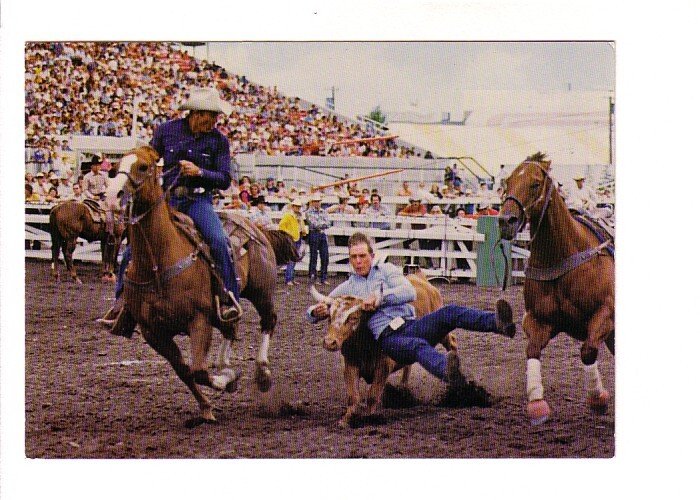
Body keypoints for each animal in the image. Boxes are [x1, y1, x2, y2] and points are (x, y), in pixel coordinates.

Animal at [104, 146, 298, 424]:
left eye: (143, 167)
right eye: (117, 164)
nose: (112, 196)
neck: (159, 261)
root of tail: (258, 228)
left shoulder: (199, 320)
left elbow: (198, 370)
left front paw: (227, 380)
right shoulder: (154, 333)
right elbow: (185, 371)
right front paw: (207, 406)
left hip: (261, 291)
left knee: (268, 321)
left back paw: (262, 374)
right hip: (227, 304)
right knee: (231, 326)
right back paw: (225, 365)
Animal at [498, 152, 612, 426]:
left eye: (535, 183)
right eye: (507, 182)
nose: (506, 221)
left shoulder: (606, 313)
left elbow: (588, 350)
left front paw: (598, 399)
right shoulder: (540, 320)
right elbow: (532, 350)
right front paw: (537, 404)